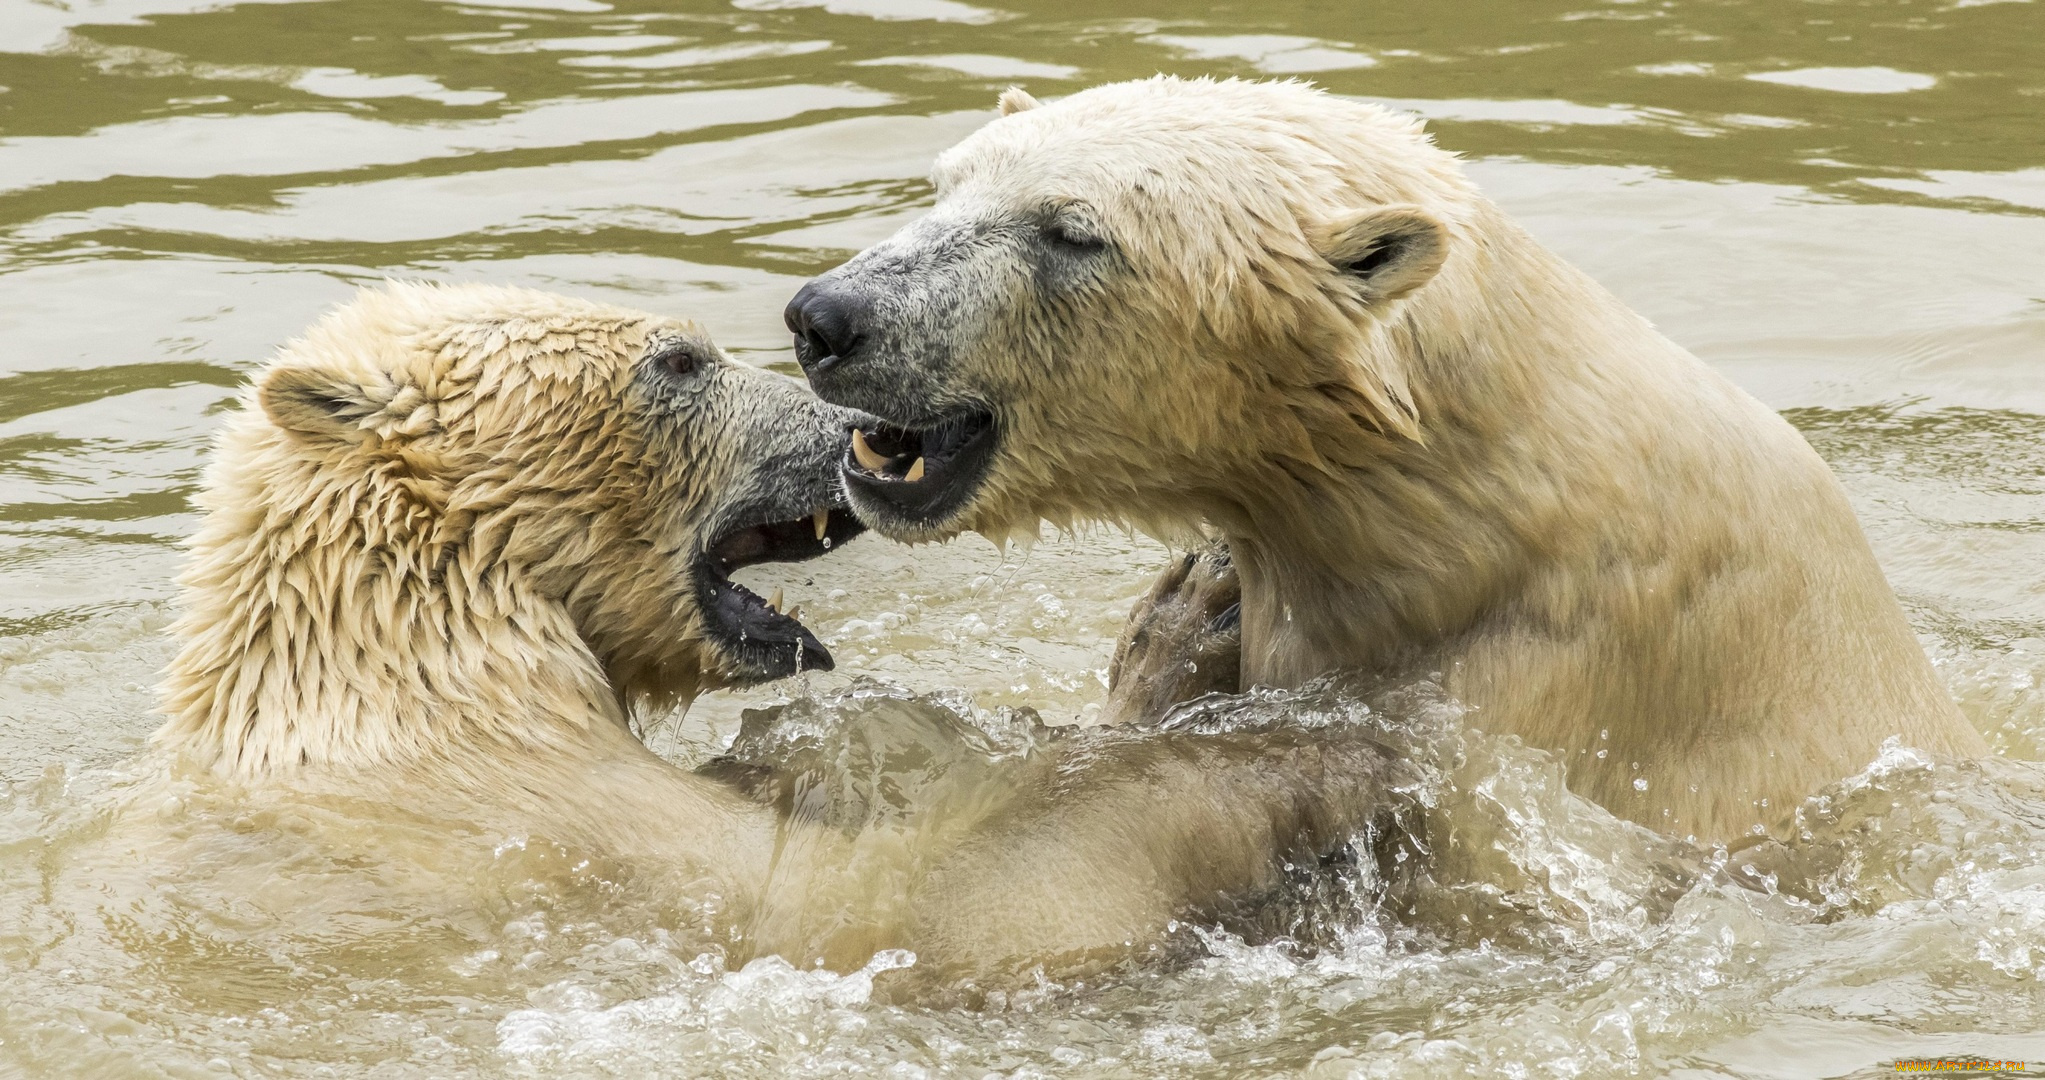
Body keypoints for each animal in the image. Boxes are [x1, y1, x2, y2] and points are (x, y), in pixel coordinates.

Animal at [151, 282, 1398, 990]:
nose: (856, 430)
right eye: (678, 360)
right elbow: (888, 914)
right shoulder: (543, 824)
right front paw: (1311, 752)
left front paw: (1195, 614)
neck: (407, 668)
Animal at [789, 80, 1987, 846]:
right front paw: (1188, 612)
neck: (1465, 512)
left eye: (1071, 231)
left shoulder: (1533, 693)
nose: (824, 316)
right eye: (948, 182)